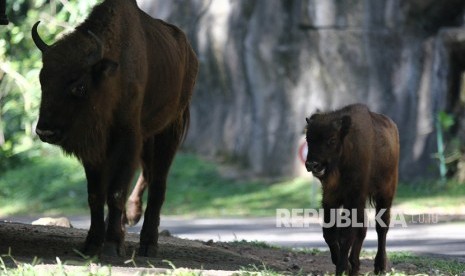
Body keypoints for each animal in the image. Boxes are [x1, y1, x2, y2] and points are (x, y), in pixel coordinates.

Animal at [304, 103, 398, 274]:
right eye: (308, 139)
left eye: (332, 140)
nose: (312, 164)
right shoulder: (330, 198)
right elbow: (330, 232)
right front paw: (344, 264)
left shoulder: (353, 197)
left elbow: (347, 233)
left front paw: (342, 267)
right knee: (362, 228)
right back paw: (355, 265)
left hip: (386, 193)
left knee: (381, 226)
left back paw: (380, 266)